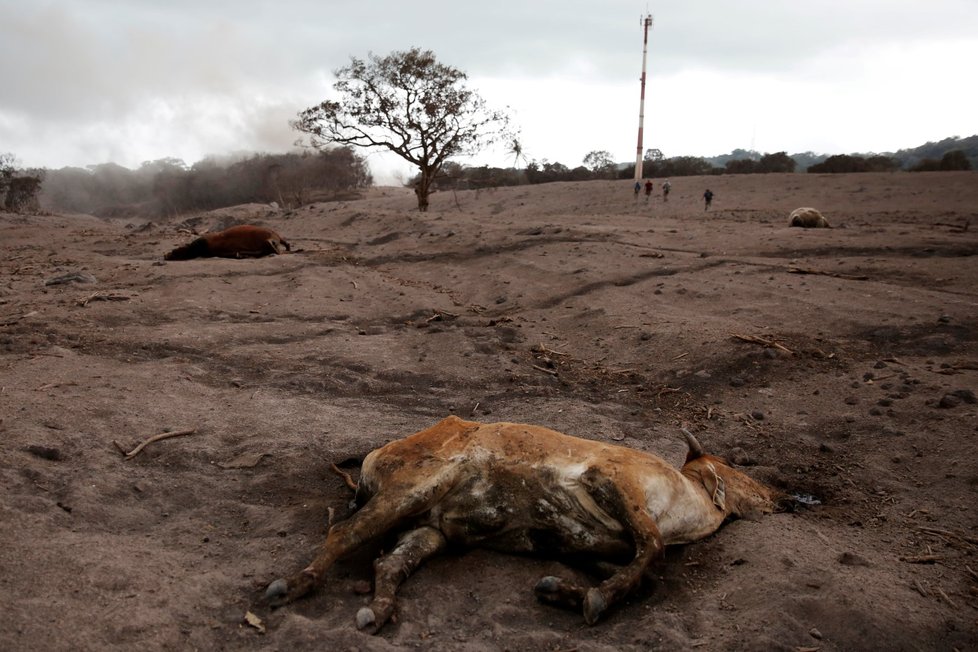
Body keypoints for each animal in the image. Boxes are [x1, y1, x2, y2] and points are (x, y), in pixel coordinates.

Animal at [264, 416, 780, 636]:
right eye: (736, 471)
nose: (781, 498)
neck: (685, 503)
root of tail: (377, 455)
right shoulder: (612, 479)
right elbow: (651, 549)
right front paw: (593, 599)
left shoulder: (591, 545)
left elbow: (645, 573)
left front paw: (563, 591)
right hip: (417, 486)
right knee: (343, 533)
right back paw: (292, 585)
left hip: (429, 530)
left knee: (388, 564)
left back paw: (379, 609)